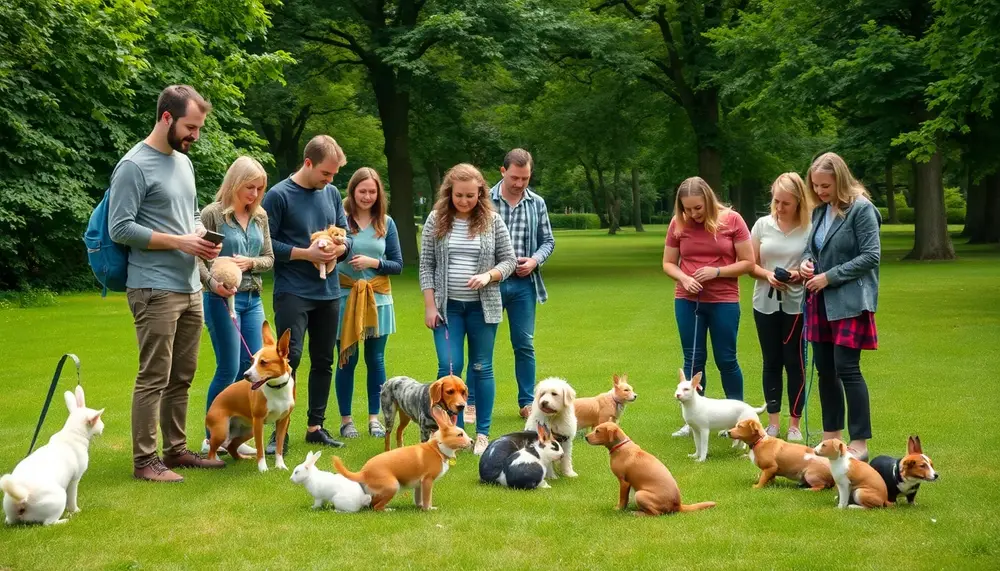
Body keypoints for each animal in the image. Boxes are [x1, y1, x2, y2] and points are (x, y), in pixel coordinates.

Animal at [1, 384, 105, 528]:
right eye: (98, 419)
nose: (103, 427)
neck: (74, 432)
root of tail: (22, 498)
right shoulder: (74, 480)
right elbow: (72, 499)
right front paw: (75, 511)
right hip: (59, 498)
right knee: (48, 523)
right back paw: (65, 520)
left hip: (9, 511)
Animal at [205, 322, 294, 474]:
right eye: (252, 360)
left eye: (263, 362)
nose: (246, 375)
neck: (276, 389)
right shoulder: (258, 421)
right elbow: (260, 449)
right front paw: (263, 468)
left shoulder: (283, 421)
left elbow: (279, 447)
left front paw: (280, 465)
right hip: (222, 430)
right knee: (212, 449)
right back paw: (214, 463)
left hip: (248, 430)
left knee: (231, 446)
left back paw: (241, 458)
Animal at [332, 408, 472, 512]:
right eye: (459, 435)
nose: (471, 441)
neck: (437, 448)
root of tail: (363, 472)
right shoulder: (428, 481)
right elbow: (427, 498)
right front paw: (429, 509)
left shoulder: (419, 484)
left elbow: (418, 498)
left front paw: (419, 507)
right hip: (393, 485)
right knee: (376, 506)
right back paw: (388, 510)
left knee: (371, 503)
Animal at [584, 420, 716, 520]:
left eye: (597, 431)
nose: (585, 437)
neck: (621, 446)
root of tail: (678, 505)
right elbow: (626, 499)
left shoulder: (623, 481)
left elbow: (622, 499)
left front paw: (618, 509)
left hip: (640, 494)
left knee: (657, 514)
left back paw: (638, 513)